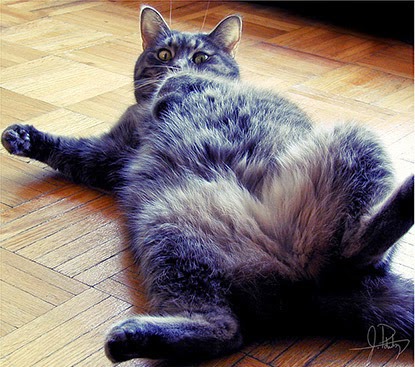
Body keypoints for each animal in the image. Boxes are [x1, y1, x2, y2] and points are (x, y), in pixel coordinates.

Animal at [1, 5, 414, 366]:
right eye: (163, 52)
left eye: (201, 57)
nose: (177, 65)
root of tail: (305, 287)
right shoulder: (111, 156)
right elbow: (71, 152)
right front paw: (23, 138)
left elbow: (174, 91)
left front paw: (170, 91)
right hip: (172, 235)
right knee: (226, 326)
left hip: (357, 142)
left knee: (349, 256)